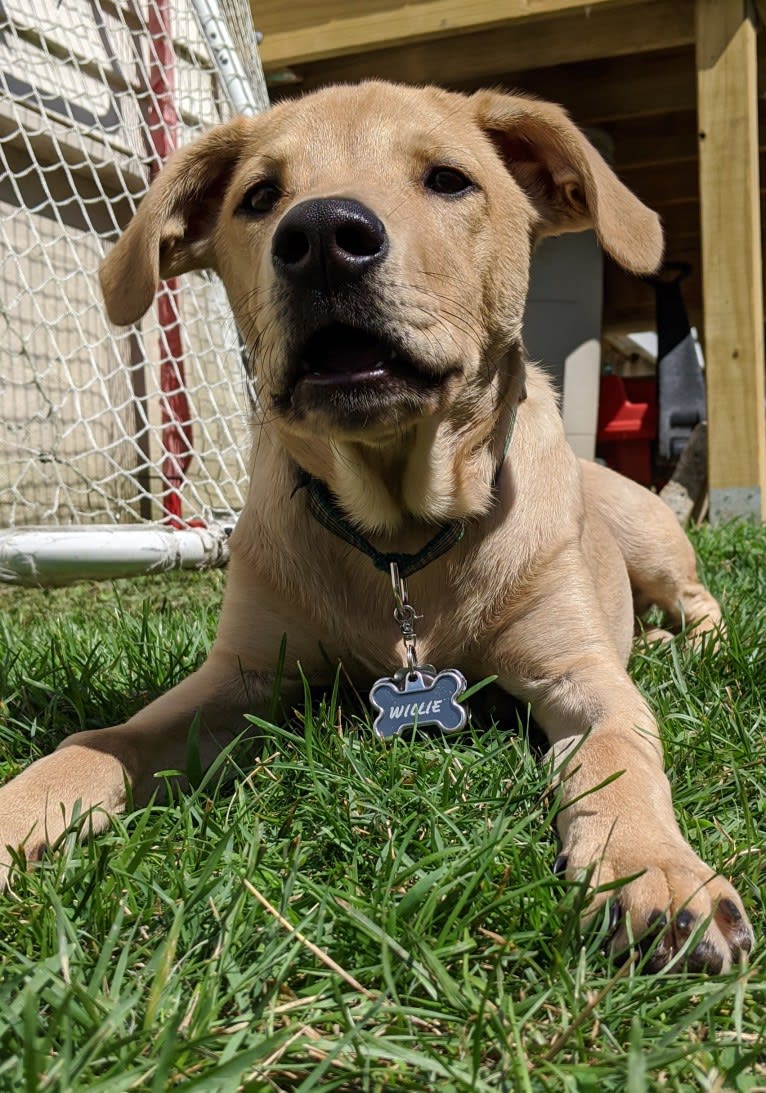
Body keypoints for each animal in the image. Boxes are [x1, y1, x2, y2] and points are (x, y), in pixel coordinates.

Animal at [0, 83, 751, 974]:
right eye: (260, 196)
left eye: (450, 179)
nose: (323, 236)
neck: (398, 531)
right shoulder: (238, 679)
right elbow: (106, 735)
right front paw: (21, 810)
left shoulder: (583, 674)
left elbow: (620, 756)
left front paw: (657, 871)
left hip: (645, 532)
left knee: (701, 600)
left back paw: (686, 645)